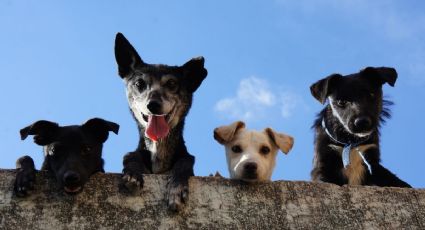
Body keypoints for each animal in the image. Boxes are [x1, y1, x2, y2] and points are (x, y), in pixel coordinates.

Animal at [114, 33, 207, 211]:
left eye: (171, 83)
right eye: (139, 83)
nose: (153, 105)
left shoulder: (186, 160)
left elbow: (185, 161)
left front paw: (176, 189)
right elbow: (130, 155)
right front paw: (133, 174)